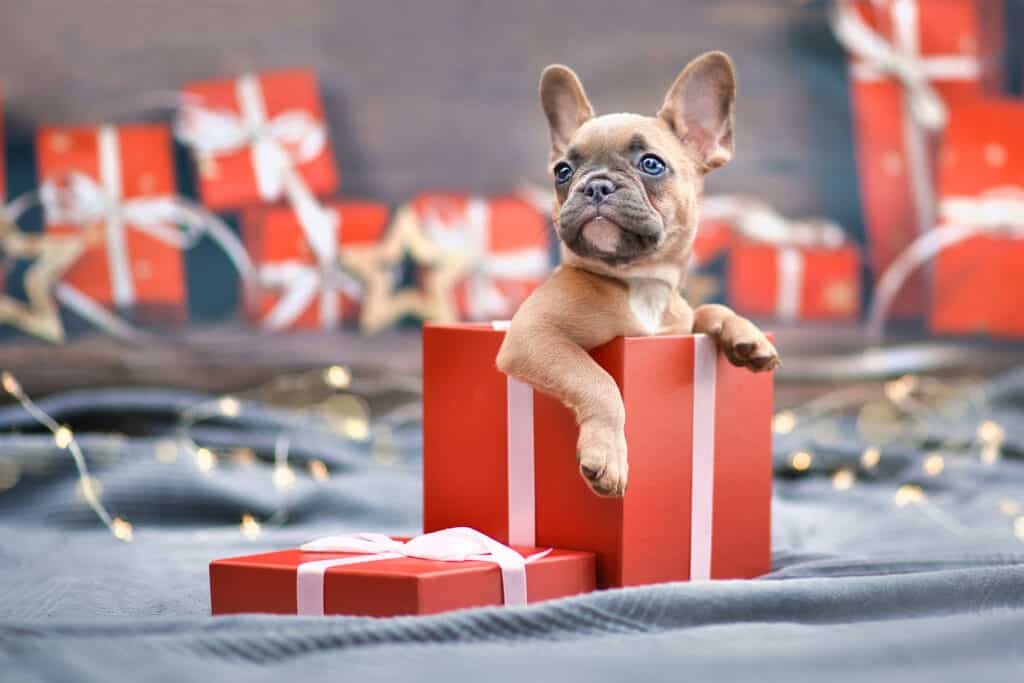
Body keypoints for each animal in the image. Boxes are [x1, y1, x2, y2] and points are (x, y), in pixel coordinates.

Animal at [495, 49, 774, 497]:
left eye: (651, 165)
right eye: (562, 172)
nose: (596, 185)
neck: (640, 282)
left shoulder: (678, 327)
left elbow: (709, 309)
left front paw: (746, 334)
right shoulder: (534, 336)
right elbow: (596, 379)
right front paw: (607, 456)